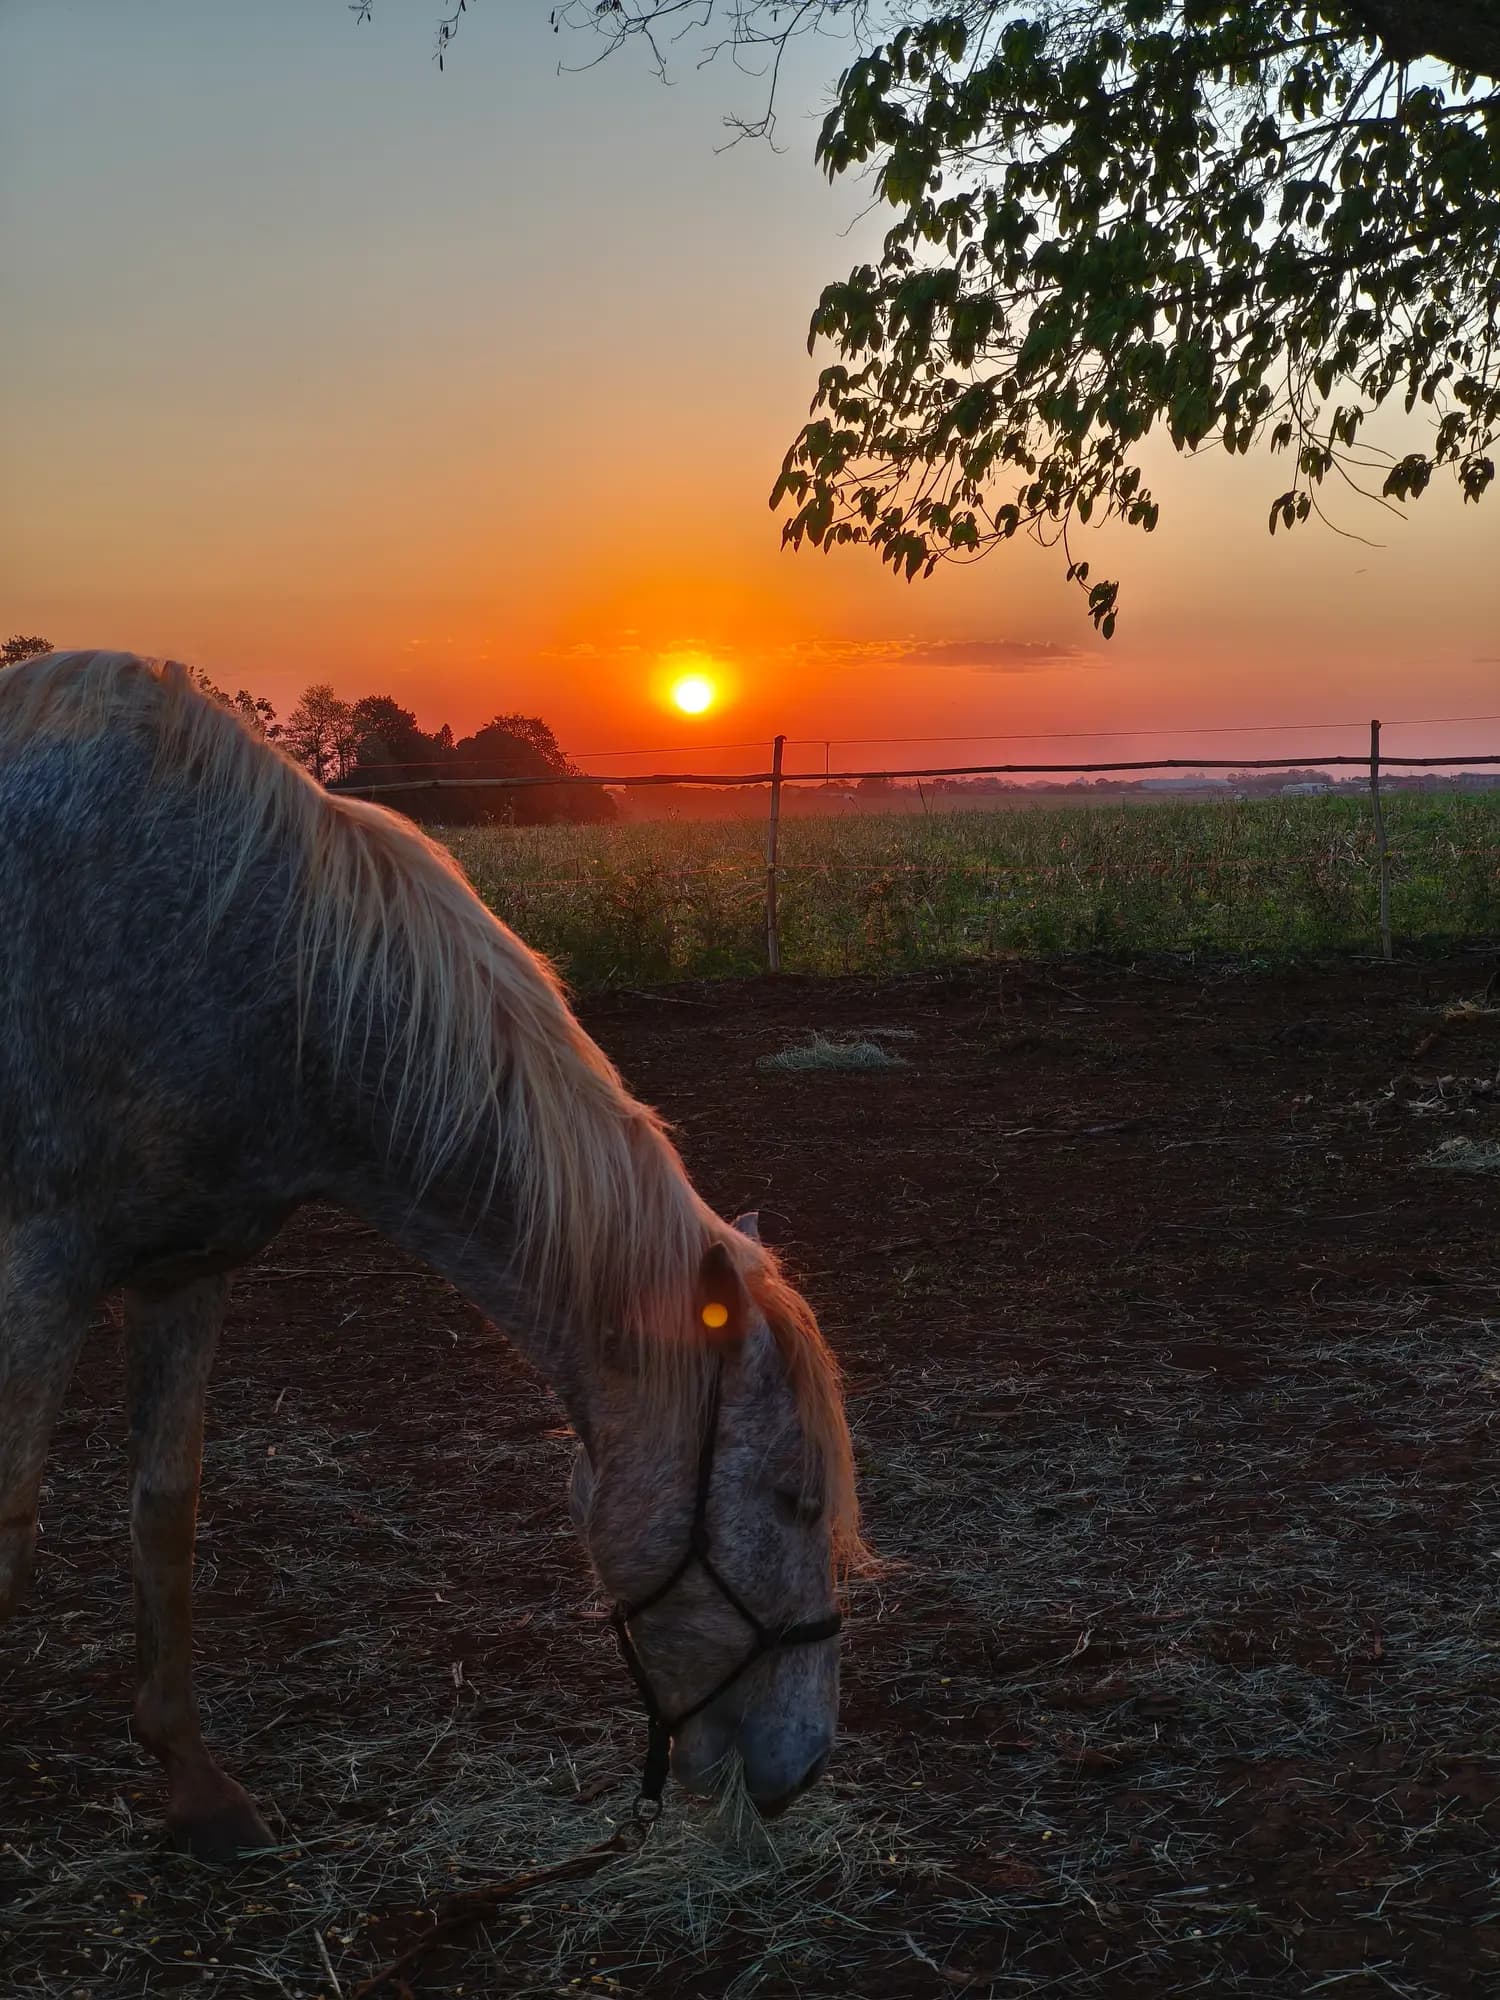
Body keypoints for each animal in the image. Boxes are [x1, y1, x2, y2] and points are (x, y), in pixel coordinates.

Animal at [0, 650, 859, 1861]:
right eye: (792, 1498)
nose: (803, 1765)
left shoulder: (184, 1271)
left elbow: (165, 1511)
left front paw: (196, 1785)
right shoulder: (41, 1263)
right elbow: (10, 1536)